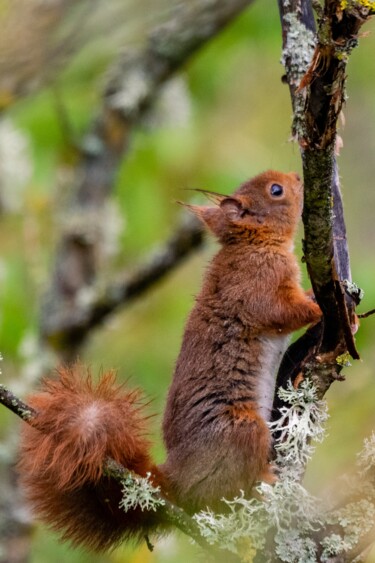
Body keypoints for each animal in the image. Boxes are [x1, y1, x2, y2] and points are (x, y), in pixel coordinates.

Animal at [17, 171, 324, 552]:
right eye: (276, 190)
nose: (296, 176)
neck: (252, 244)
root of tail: (177, 487)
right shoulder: (256, 285)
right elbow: (281, 312)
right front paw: (324, 306)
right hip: (242, 430)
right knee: (224, 496)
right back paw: (265, 483)